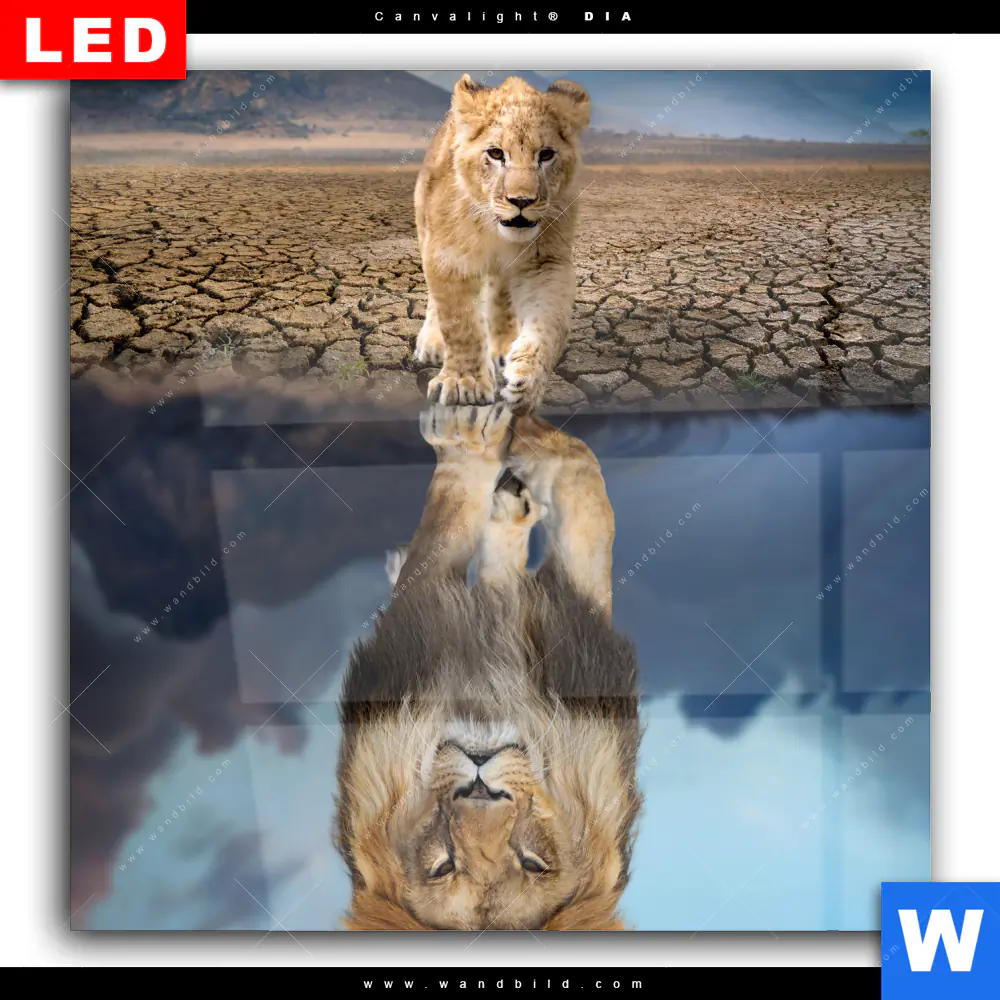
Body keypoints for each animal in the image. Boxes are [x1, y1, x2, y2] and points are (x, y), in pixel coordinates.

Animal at [414, 74, 592, 413]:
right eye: (496, 154)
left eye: (546, 154)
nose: (521, 201)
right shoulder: (448, 258)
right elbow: (460, 325)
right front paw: (464, 384)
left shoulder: (545, 262)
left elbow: (549, 323)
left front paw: (526, 381)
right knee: (435, 300)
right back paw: (431, 343)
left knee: (502, 295)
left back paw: (504, 347)